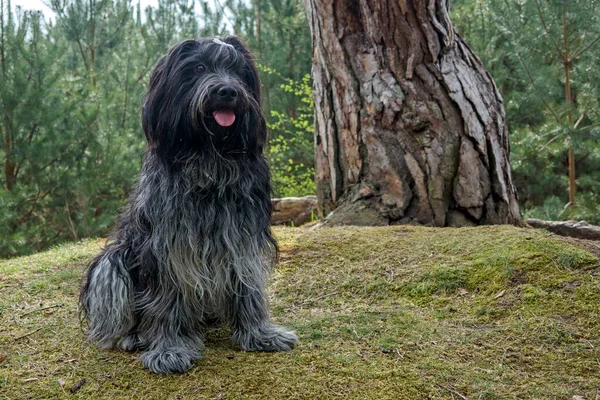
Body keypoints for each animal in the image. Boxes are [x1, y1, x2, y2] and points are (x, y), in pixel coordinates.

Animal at [78, 37, 298, 376]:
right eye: (198, 68)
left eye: (238, 71)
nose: (228, 91)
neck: (210, 157)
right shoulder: (167, 243)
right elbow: (168, 297)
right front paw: (170, 348)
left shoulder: (241, 235)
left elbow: (248, 284)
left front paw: (261, 334)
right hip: (112, 262)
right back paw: (135, 335)